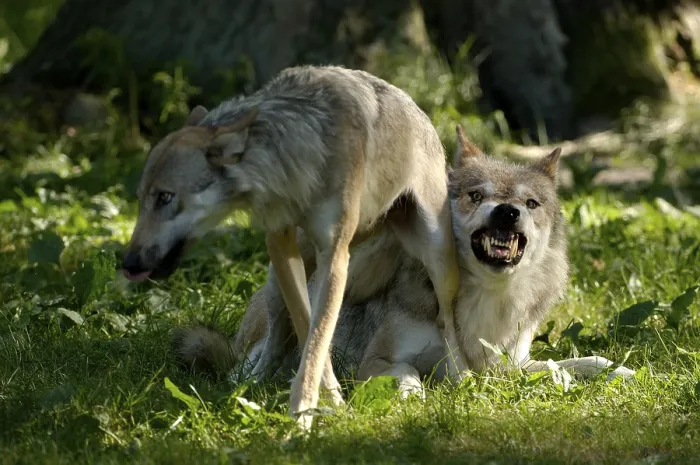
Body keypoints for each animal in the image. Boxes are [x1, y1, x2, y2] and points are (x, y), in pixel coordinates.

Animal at [120, 65, 464, 429]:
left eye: (165, 197)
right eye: (141, 199)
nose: (127, 262)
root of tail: (420, 112)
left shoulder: (334, 257)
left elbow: (316, 339)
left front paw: (304, 413)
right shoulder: (282, 247)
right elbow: (307, 330)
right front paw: (324, 402)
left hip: (438, 259)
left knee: (446, 319)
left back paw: (463, 377)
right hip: (277, 282)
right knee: (270, 344)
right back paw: (249, 382)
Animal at [175, 126, 635, 399]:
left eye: (530, 203)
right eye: (476, 196)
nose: (507, 213)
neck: (485, 297)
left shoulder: (507, 365)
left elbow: (567, 363)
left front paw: (618, 370)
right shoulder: (378, 362)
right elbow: (408, 378)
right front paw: (413, 401)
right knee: (254, 362)